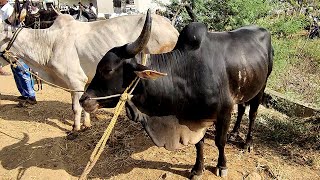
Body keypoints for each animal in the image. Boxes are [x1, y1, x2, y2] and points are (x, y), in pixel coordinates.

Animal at [0, 13, 178, 132]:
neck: (50, 44)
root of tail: (173, 29)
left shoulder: (75, 81)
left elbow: (76, 107)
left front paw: (75, 129)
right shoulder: (85, 83)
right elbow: (84, 104)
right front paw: (87, 124)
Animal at [79, 10, 272, 179]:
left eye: (107, 70)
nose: (83, 99)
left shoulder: (224, 112)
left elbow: (220, 141)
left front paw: (221, 166)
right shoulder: (195, 119)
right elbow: (199, 144)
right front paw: (197, 169)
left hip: (262, 87)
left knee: (252, 114)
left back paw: (247, 143)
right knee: (242, 108)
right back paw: (235, 132)